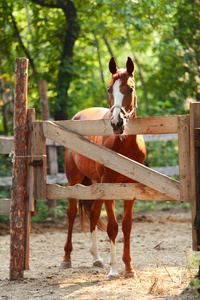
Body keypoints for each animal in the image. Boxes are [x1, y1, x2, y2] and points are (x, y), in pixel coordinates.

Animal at [60, 57, 146, 278]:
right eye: (109, 89)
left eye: (131, 88)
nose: (117, 123)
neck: (123, 145)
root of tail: (78, 115)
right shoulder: (109, 184)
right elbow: (113, 227)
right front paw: (114, 269)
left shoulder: (129, 187)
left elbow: (126, 226)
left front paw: (129, 268)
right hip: (74, 180)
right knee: (71, 213)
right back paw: (66, 259)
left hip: (95, 184)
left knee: (93, 213)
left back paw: (97, 258)